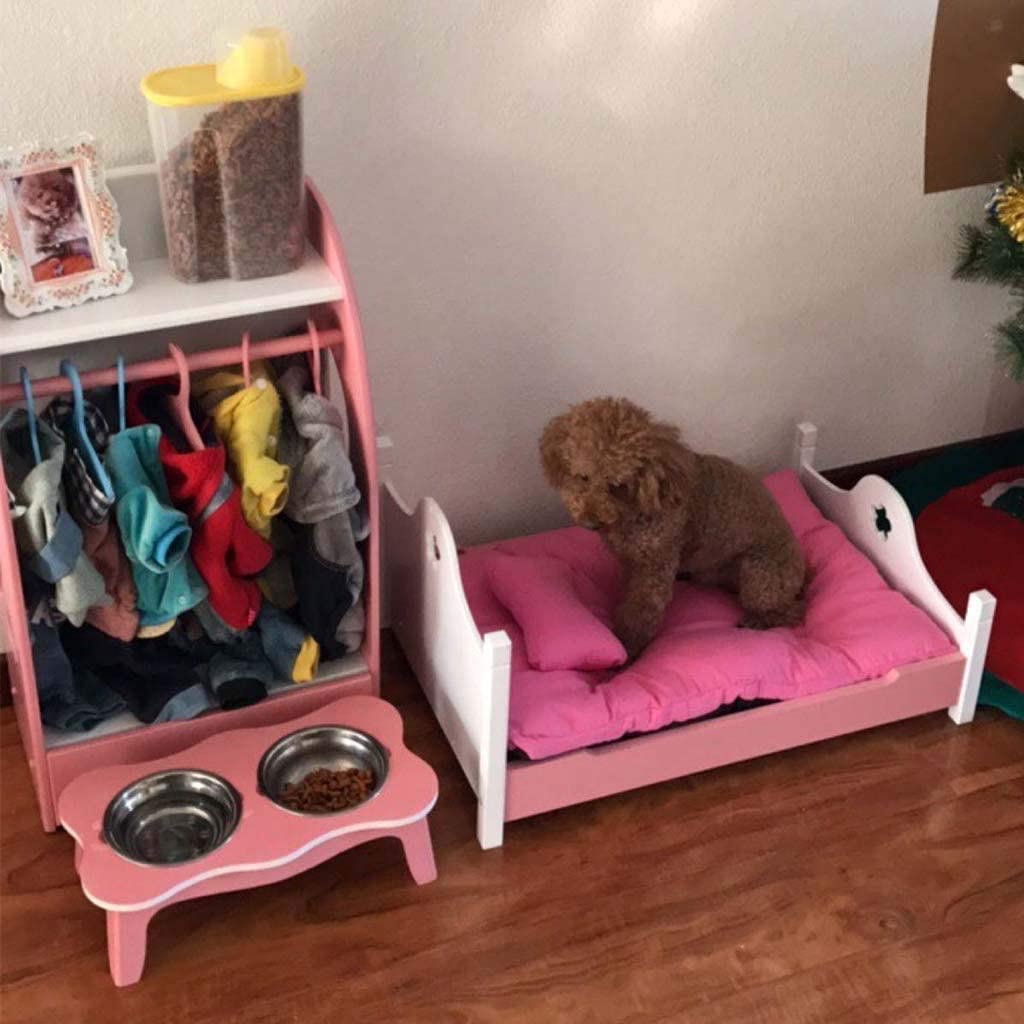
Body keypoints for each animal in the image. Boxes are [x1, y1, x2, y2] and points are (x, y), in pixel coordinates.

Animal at [540, 395, 802, 659]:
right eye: (583, 476)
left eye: (617, 485)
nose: (590, 523)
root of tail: (803, 571)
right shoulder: (630, 561)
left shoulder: (655, 567)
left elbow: (639, 612)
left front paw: (626, 647)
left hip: (759, 577)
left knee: (792, 613)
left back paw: (758, 620)